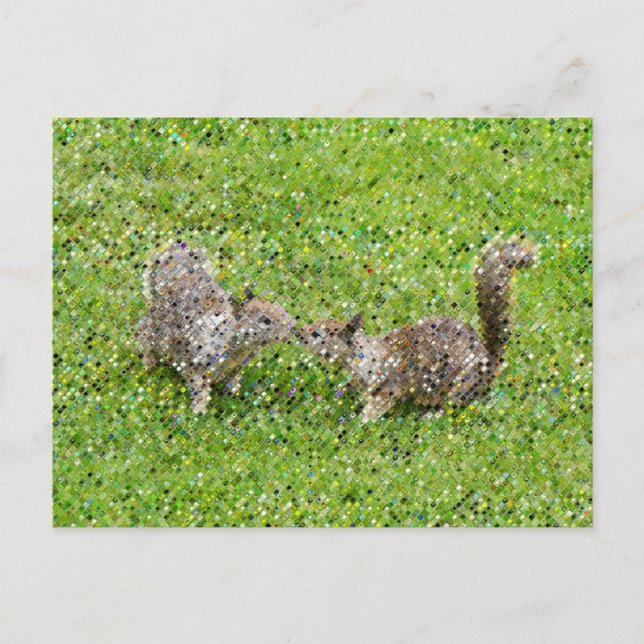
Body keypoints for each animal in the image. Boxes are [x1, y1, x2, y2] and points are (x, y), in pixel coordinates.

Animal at [135, 243, 296, 413]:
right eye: (266, 320)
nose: (292, 329)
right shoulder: (198, 362)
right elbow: (200, 386)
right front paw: (199, 411)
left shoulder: (237, 364)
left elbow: (231, 377)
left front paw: (231, 389)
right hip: (153, 330)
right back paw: (149, 362)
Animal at [297, 239, 536, 421]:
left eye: (319, 333)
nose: (299, 332)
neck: (360, 356)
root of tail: (491, 362)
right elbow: (351, 386)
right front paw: (340, 393)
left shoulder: (387, 385)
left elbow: (377, 405)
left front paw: (361, 423)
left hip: (461, 385)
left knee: (452, 406)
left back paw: (431, 416)